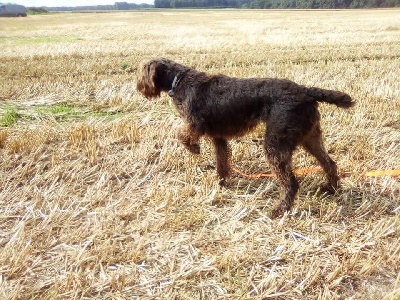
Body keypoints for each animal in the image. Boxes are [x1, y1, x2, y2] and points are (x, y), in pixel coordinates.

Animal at [137, 58, 354, 218]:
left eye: (142, 71)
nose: (138, 87)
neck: (178, 80)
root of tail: (305, 90)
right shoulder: (218, 137)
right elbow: (222, 161)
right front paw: (220, 182)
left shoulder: (194, 123)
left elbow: (181, 134)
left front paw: (194, 148)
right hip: (310, 137)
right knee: (329, 163)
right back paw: (331, 189)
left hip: (276, 144)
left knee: (291, 182)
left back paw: (280, 210)